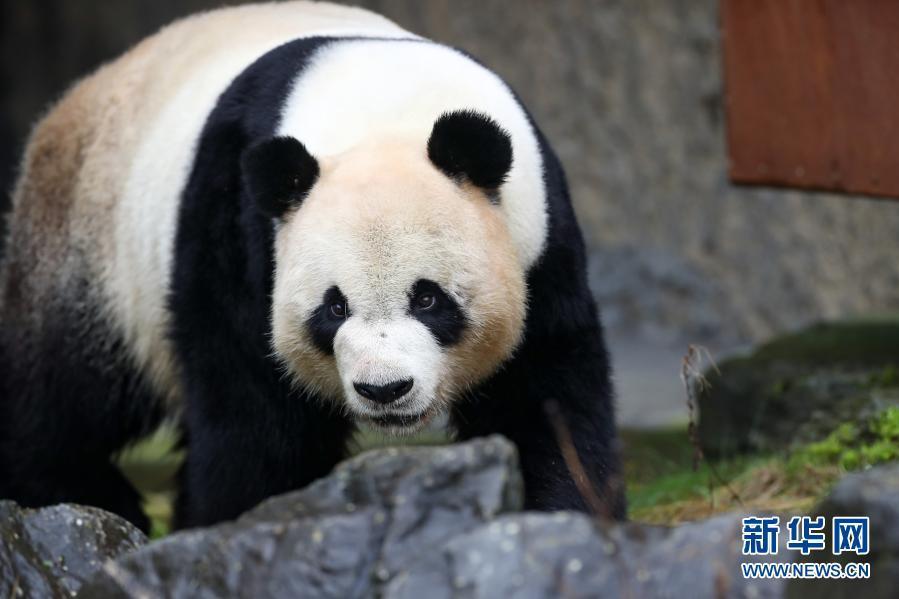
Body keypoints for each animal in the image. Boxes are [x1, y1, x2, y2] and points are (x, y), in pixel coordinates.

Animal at [0, 1, 624, 528]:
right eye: (334, 307)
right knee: (61, 393)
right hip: (92, 245)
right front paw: (242, 519)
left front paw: (564, 512)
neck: (385, 110)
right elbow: (251, 409)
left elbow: (547, 389)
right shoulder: (238, 224)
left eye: (428, 298)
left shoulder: (538, 240)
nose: (385, 390)